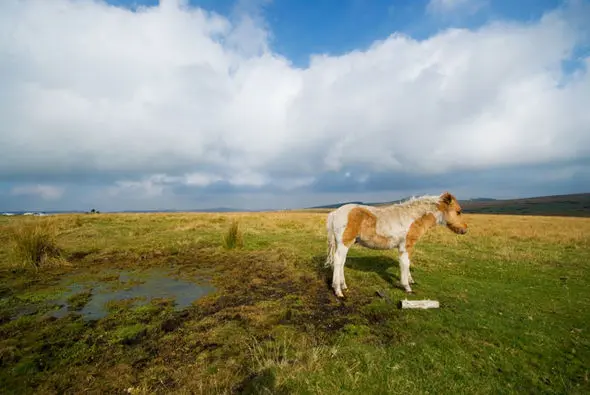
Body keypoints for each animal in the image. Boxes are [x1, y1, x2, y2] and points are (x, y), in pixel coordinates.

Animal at [326, 191, 470, 296]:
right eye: (458, 211)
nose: (465, 229)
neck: (413, 218)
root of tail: (334, 213)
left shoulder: (407, 247)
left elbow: (407, 263)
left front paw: (411, 280)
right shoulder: (405, 246)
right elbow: (405, 264)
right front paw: (407, 287)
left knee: (342, 262)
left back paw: (343, 285)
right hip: (344, 242)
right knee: (338, 260)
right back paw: (338, 290)